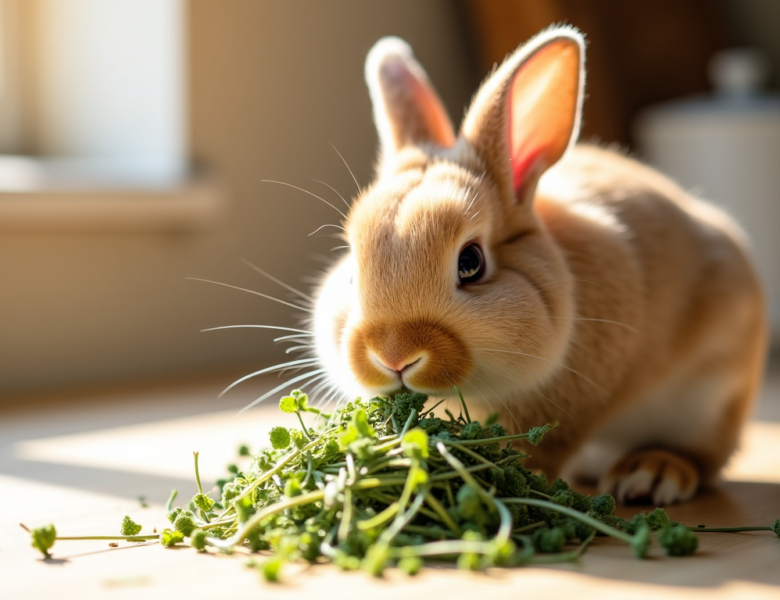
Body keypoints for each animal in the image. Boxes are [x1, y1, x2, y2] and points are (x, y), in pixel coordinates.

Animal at [310, 26, 766, 506]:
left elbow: (540, 446)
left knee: (700, 456)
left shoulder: (569, 402)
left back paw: (650, 474)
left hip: (710, 399)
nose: (393, 356)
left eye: (470, 262)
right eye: (352, 268)